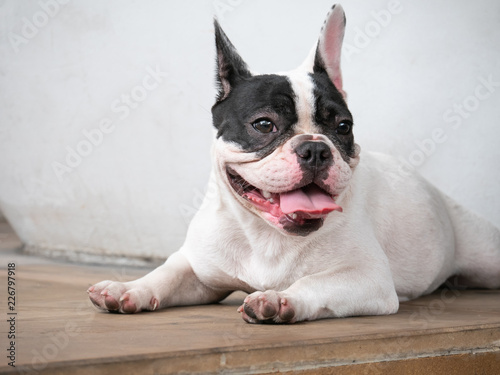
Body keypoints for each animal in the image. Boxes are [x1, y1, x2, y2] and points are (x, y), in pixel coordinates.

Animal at [88, 4, 500, 324]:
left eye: (343, 127)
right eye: (263, 124)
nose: (315, 149)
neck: (266, 236)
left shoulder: (368, 278)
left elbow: (315, 283)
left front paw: (279, 298)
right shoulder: (198, 267)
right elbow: (165, 274)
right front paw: (127, 288)